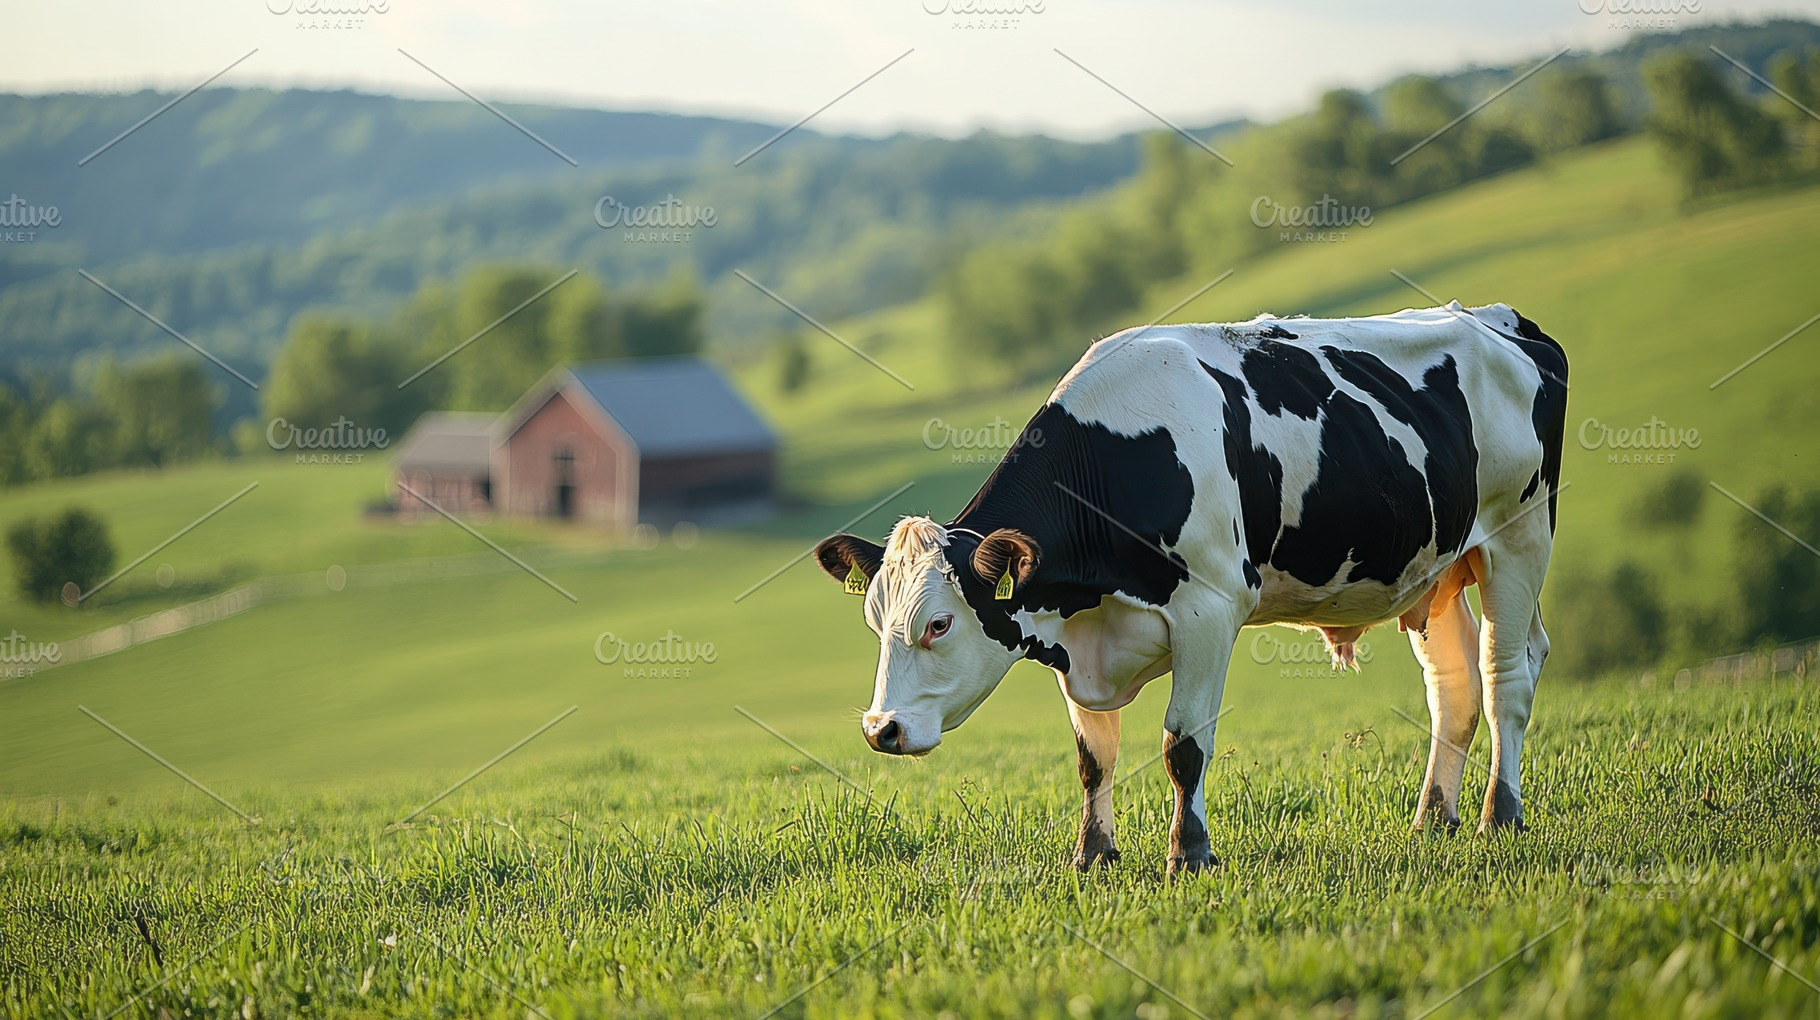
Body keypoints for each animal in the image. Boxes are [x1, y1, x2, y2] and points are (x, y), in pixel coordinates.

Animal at [814, 302, 1567, 877]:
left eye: (938, 624)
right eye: (875, 622)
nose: (880, 729)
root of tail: (1499, 319)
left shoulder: (1210, 609)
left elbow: (1184, 744)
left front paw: (1190, 854)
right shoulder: (1074, 638)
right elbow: (1093, 758)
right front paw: (1093, 856)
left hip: (1519, 538)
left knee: (1505, 678)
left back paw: (1499, 815)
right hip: (1438, 573)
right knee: (1453, 686)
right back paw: (1433, 818)